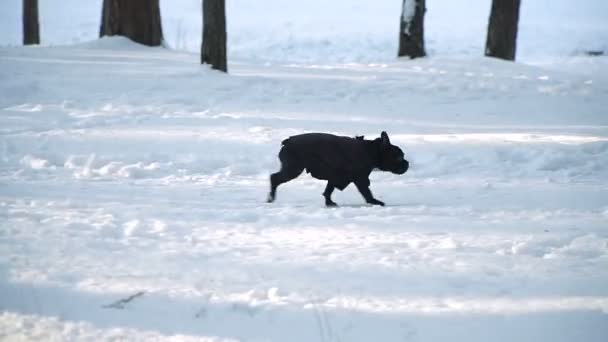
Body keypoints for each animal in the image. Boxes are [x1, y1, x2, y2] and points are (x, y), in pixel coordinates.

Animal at [268, 131, 406, 206]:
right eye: (399, 157)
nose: (407, 163)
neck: (372, 150)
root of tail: (288, 141)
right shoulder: (360, 178)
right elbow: (366, 192)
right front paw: (374, 201)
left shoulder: (336, 176)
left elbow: (328, 190)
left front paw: (329, 203)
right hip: (293, 169)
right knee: (274, 178)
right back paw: (271, 198)